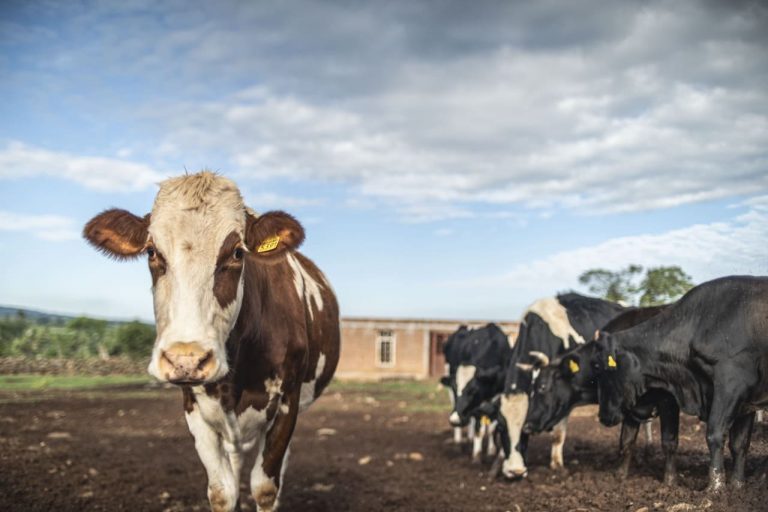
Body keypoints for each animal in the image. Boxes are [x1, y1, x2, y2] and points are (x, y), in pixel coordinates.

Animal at [83, 171, 340, 512]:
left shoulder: (288, 400)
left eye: (237, 253)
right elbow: (222, 491)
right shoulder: (194, 406)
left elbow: (265, 487)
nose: (186, 359)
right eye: (152, 252)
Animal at [440, 323, 511, 462]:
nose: (455, 420)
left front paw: (491, 451)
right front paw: (477, 455)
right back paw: (459, 441)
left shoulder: (498, 396)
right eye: (454, 388)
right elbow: (480, 428)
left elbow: (491, 427)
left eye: (473, 390)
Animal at [499, 293, 626, 479]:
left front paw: (557, 466)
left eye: (523, 431)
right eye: (501, 428)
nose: (516, 471)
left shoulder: (564, 398)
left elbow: (558, 434)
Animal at [522, 305, 682, 484]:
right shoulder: (632, 406)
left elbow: (668, 442)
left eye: (542, 387)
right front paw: (620, 474)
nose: (527, 425)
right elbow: (626, 441)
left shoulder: (668, 400)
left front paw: (669, 480)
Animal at [596, 276, 768, 492]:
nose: (602, 416)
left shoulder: (732, 383)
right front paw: (737, 484)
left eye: (604, 369)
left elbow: (714, 433)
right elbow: (740, 443)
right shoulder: (748, 400)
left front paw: (715, 488)